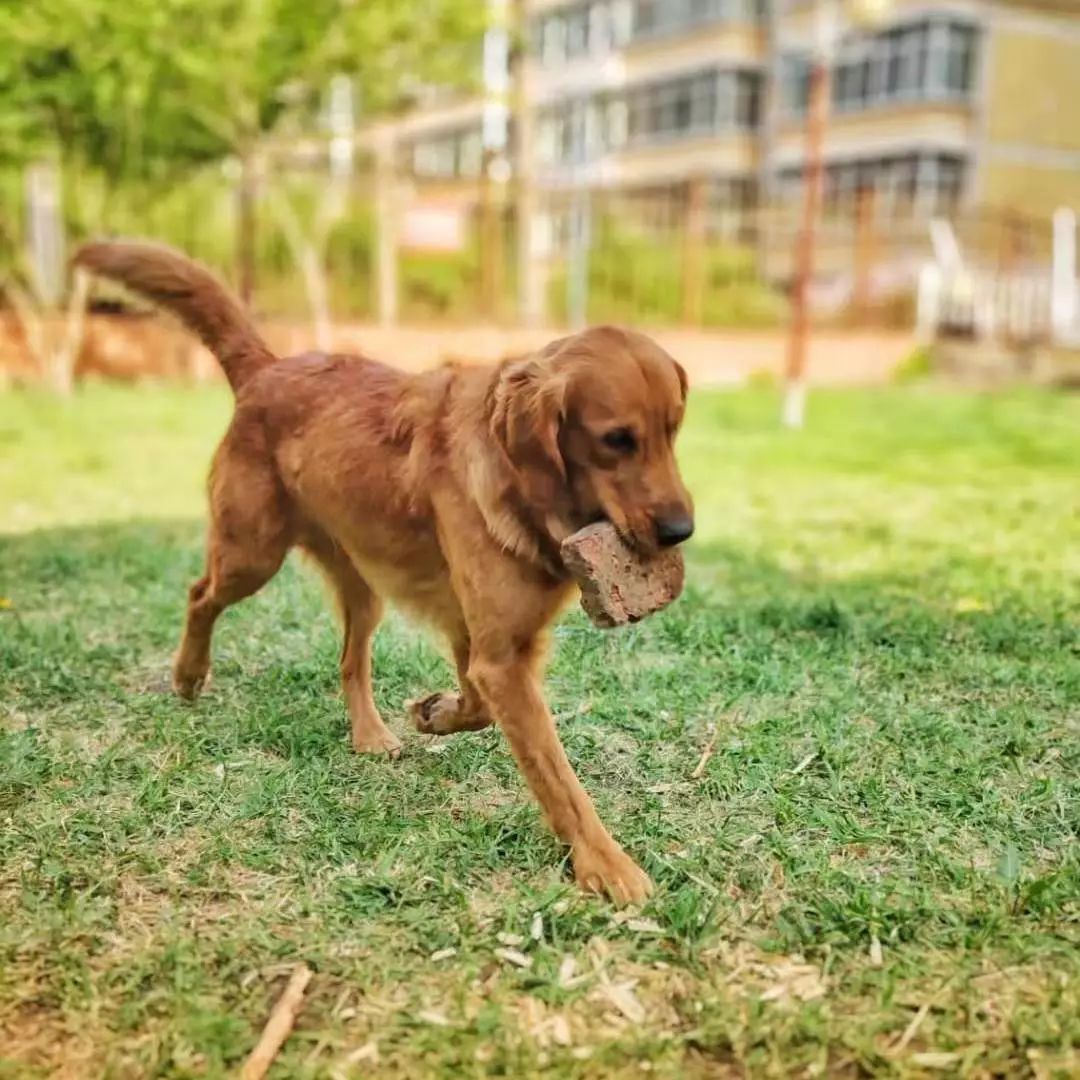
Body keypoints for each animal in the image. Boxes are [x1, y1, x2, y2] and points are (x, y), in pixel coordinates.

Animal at [78, 243, 699, 902]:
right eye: (616, 440)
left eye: (673, 430)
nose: (681, 531)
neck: (528, 487)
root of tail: (268, 369)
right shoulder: (498, 655)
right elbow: (559, 778)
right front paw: (606, 864)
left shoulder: (487, 642)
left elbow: (477, 708)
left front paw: (435, 713)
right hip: (251, 554)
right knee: (201, 595)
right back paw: (189, 673)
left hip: (362, 584)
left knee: (350, 662)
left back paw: (369, 735)